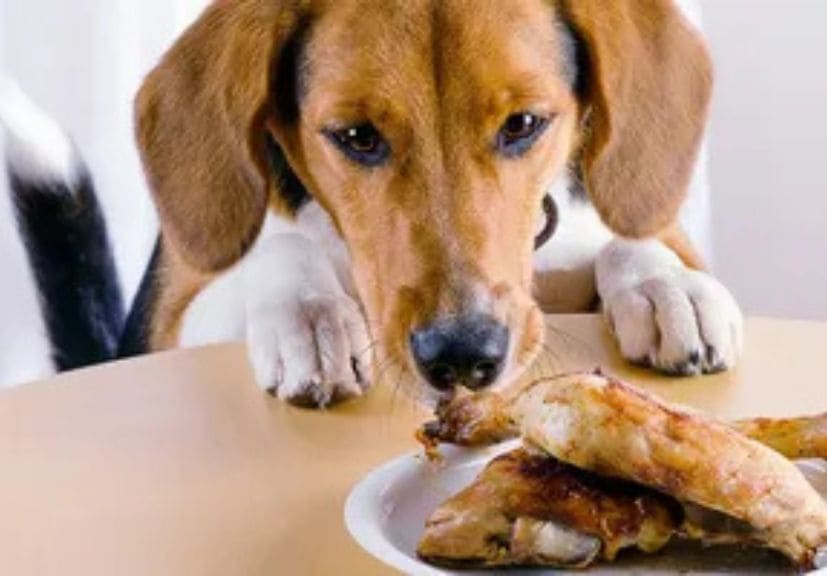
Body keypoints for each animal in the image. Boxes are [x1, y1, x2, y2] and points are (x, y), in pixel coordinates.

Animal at [126, 0, 748, 404]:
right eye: (356, 136)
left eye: (523, 124)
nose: (462, 357)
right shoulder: (169, 317)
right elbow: (284, 250)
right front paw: (310, 313)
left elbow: (633, 240)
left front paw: (667, 286)